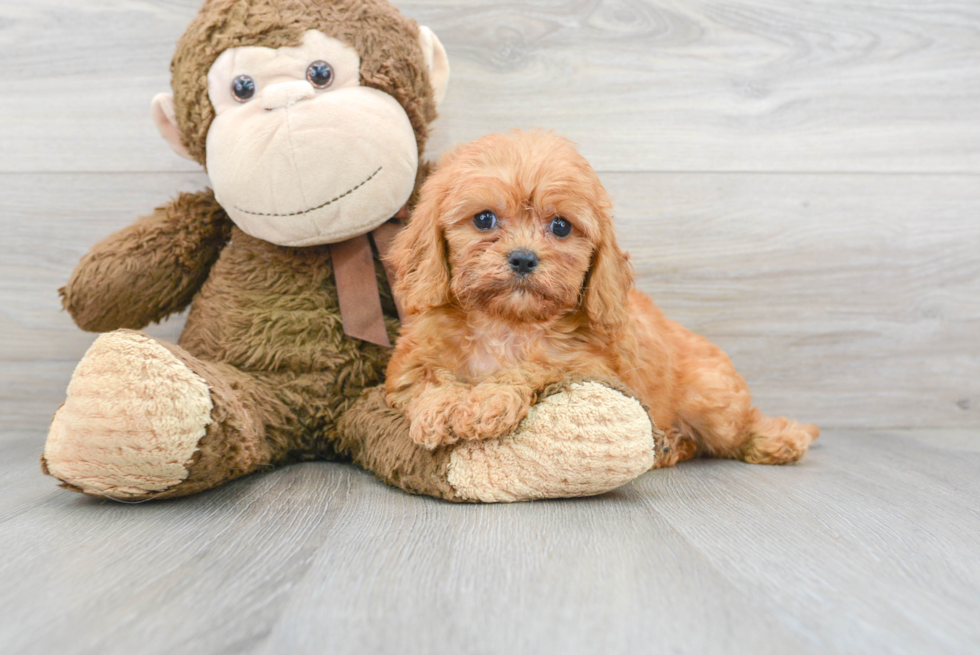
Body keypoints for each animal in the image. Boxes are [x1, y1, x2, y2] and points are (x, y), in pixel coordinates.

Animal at [386, 131, 816, 466]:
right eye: (484, 219)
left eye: (561, 226)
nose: (523, 258)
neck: (506, 324)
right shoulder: (408, 367)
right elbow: (426, 379)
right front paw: (443, 407)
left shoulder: (587, 366)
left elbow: (535, 367)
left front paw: (487, 401)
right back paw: (669, 446)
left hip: (711, 401)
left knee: (740, 428)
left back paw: (781, 440)